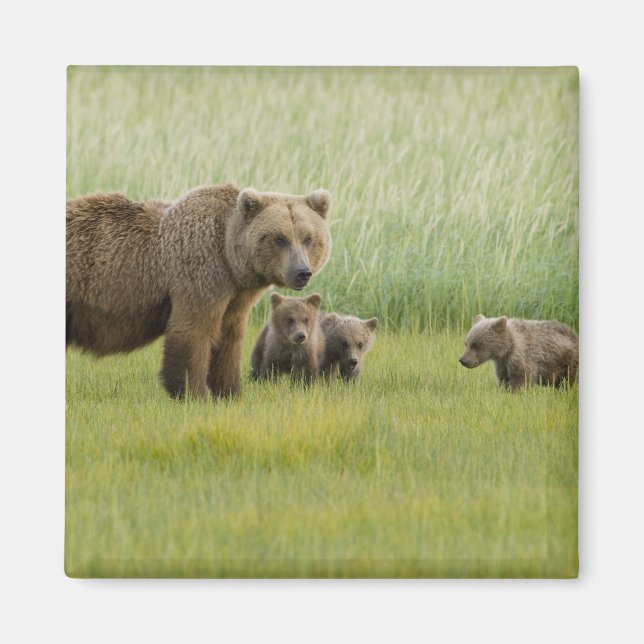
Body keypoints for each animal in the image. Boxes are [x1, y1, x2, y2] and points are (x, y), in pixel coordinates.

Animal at [66, 184, 332, 399]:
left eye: (308, 238)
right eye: (280, 238)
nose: (302, 272)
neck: (229, 259)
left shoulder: (236, 296)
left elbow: (229, 339)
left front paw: (229, 392)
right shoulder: (199, 274)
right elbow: (193, 331)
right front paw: (192, 393)